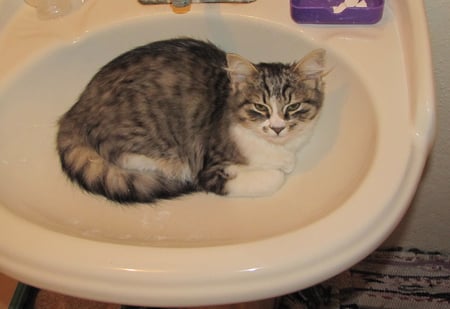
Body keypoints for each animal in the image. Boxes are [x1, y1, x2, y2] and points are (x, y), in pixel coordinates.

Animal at [56, 38, 326, 202]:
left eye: (293, 106)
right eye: (260, 107)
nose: (278, 128)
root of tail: (79, 106)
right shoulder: (210, 168)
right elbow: (274, 177)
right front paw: (276, 169)